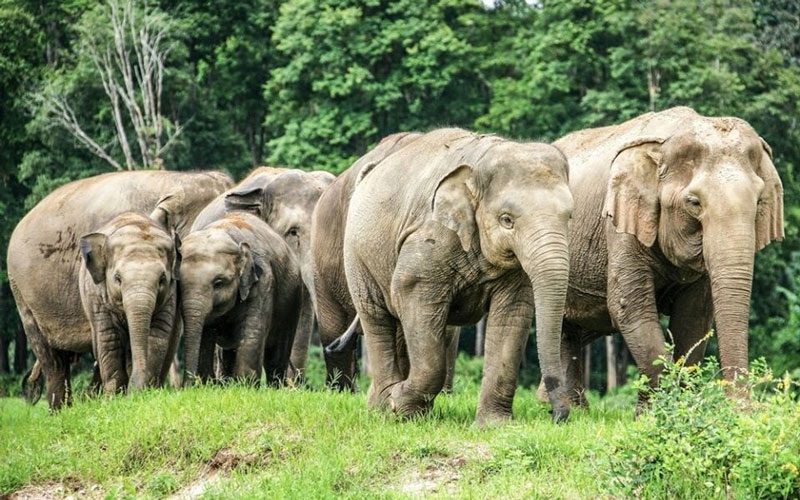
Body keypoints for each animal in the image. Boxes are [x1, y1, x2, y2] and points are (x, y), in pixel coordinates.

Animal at [79, 212, 181, 394]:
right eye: (117, 278)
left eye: (162, 279)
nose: (134, 391)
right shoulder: (97, 297)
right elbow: (109, 338)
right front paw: (114, 396)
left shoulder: (170, 295)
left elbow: (156, 336)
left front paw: (145, 392)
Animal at [180, 212, 302, 385]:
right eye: (178, 283)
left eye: (218, 283)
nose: (187, 386)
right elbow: (204, 335)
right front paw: (209, 384)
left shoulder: (263, 282)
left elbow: (251, 335)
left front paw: (245, 385)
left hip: (293, 301)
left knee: (277, 355)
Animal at [342, 128, 574, 424]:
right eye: (507, 220)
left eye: (570, 217)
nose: (557, 415)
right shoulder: (431, 237)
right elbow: (409, 289)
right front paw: (399, 404)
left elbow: (512, 313)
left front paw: (493, 425)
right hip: (357, 255)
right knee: (376, 317)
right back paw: (386, 406)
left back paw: (389, 406)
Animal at [539, 106, 784, 406]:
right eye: (694, 203)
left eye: (759, 202)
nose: (741, 409)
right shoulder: (620, 224)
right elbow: (629, 307)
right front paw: (666, 408)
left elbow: (693, 317)